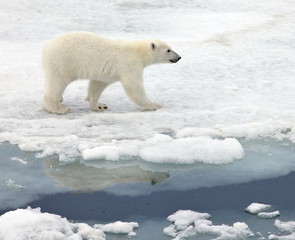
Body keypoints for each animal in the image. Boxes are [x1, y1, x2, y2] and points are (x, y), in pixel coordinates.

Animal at [41, 31, 180, 114]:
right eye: (168, 50)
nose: (179, 57)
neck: (138, 52)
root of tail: (47, 47)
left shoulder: (105, 73)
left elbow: (97, 85)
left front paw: (99, 105)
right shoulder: (129, 64)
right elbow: (134, 86)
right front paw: (155, 104)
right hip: (63, 62)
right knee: (57, 83)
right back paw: (59, 108)